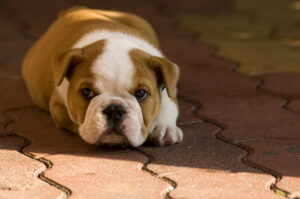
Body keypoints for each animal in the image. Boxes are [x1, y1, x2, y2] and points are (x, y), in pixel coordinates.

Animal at [22, 7, 182, 147]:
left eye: (141, 93)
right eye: (87, 92)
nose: (114, 109)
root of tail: (76, 9)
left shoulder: (168, 85)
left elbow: (168, 103)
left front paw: (163, 128)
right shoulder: (57, 106)